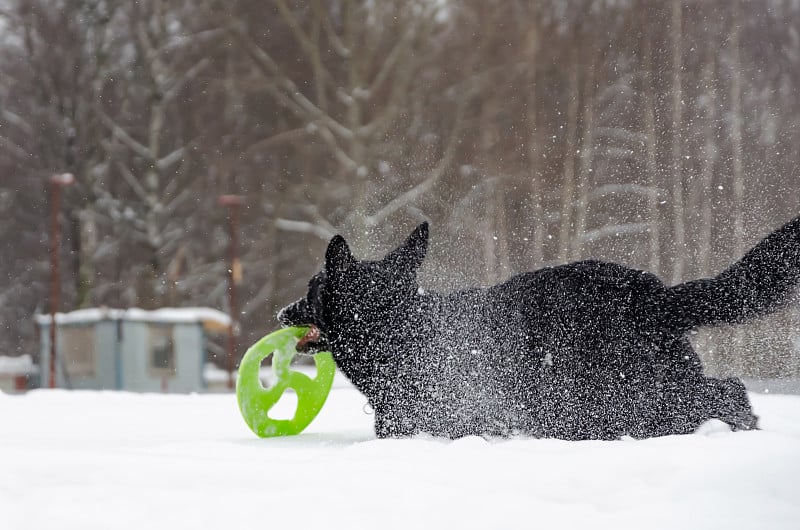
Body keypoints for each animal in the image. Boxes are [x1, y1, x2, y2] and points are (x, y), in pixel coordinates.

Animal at [280, 214, 800, 438]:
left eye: (311, 289)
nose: (282, 313)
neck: (402, 328)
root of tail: (651, 294)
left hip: (626, 401)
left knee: (720, 393)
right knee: (726, 389)